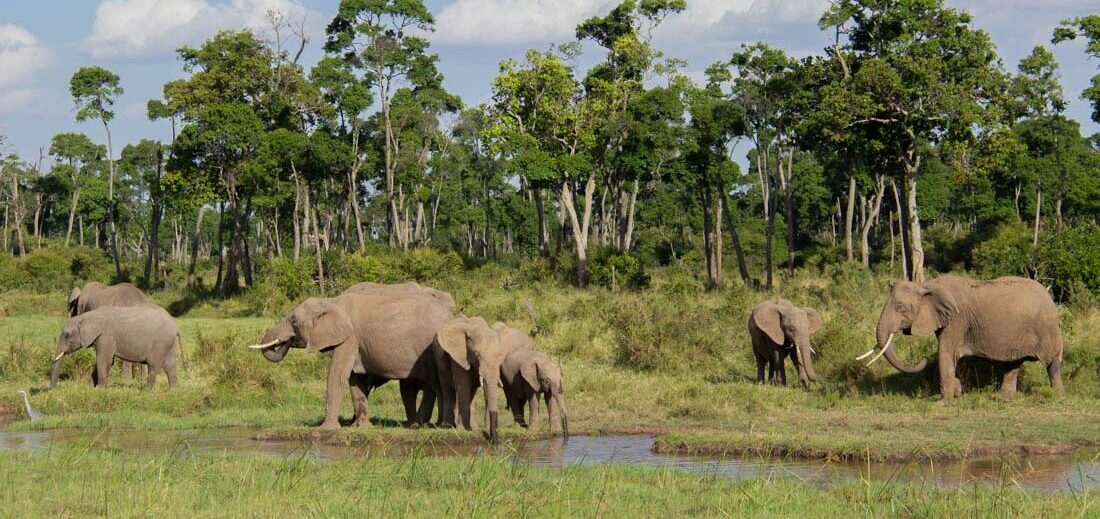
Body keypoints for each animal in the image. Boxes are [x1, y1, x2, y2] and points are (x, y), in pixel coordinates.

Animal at [50, 301, 180, 387]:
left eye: (67, 335)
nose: (52, 389)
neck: (87, 316)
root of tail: (174, 325)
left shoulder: (106, 336)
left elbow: (103, 360)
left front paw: (101, 390)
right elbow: (107, 361)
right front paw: (95, 387)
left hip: (161, 342)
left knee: (153, 364)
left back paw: (146, 391)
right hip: (169, 343)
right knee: (170, 365)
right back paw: (173, 391)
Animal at [249, 292, 451, 428]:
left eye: (293, 321)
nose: (286, 341)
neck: (330, 301)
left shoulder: (349, 338)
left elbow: (337, 375)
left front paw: (328, 429)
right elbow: (355, 380)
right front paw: (362, 428)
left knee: (436, 385)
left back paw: (436, 425)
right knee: (414, 387)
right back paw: (418, 425)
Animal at [853, 275, 1060, 402]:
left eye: (900, 306)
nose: (922, 360)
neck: (926, 285)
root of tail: (1049, 296)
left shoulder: (957, 320)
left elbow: (945, 353)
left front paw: (943, 401)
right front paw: (956, 391)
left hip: (1046, 328)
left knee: (1052, 362)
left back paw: (1057, 396)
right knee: (1013, 364)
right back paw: (1001, 398)